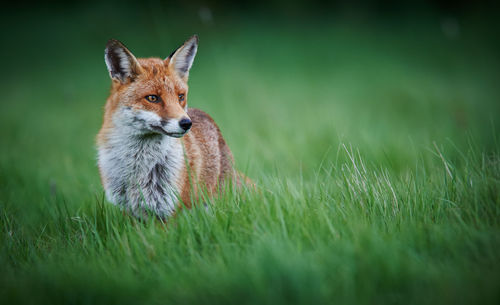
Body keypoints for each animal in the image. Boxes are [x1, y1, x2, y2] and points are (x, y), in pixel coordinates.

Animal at [97, 34, 248, 217]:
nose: (186, 123)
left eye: (180, 96)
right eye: (152, 98)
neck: (138, 163)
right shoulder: (128, 211)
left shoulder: (170, 210)